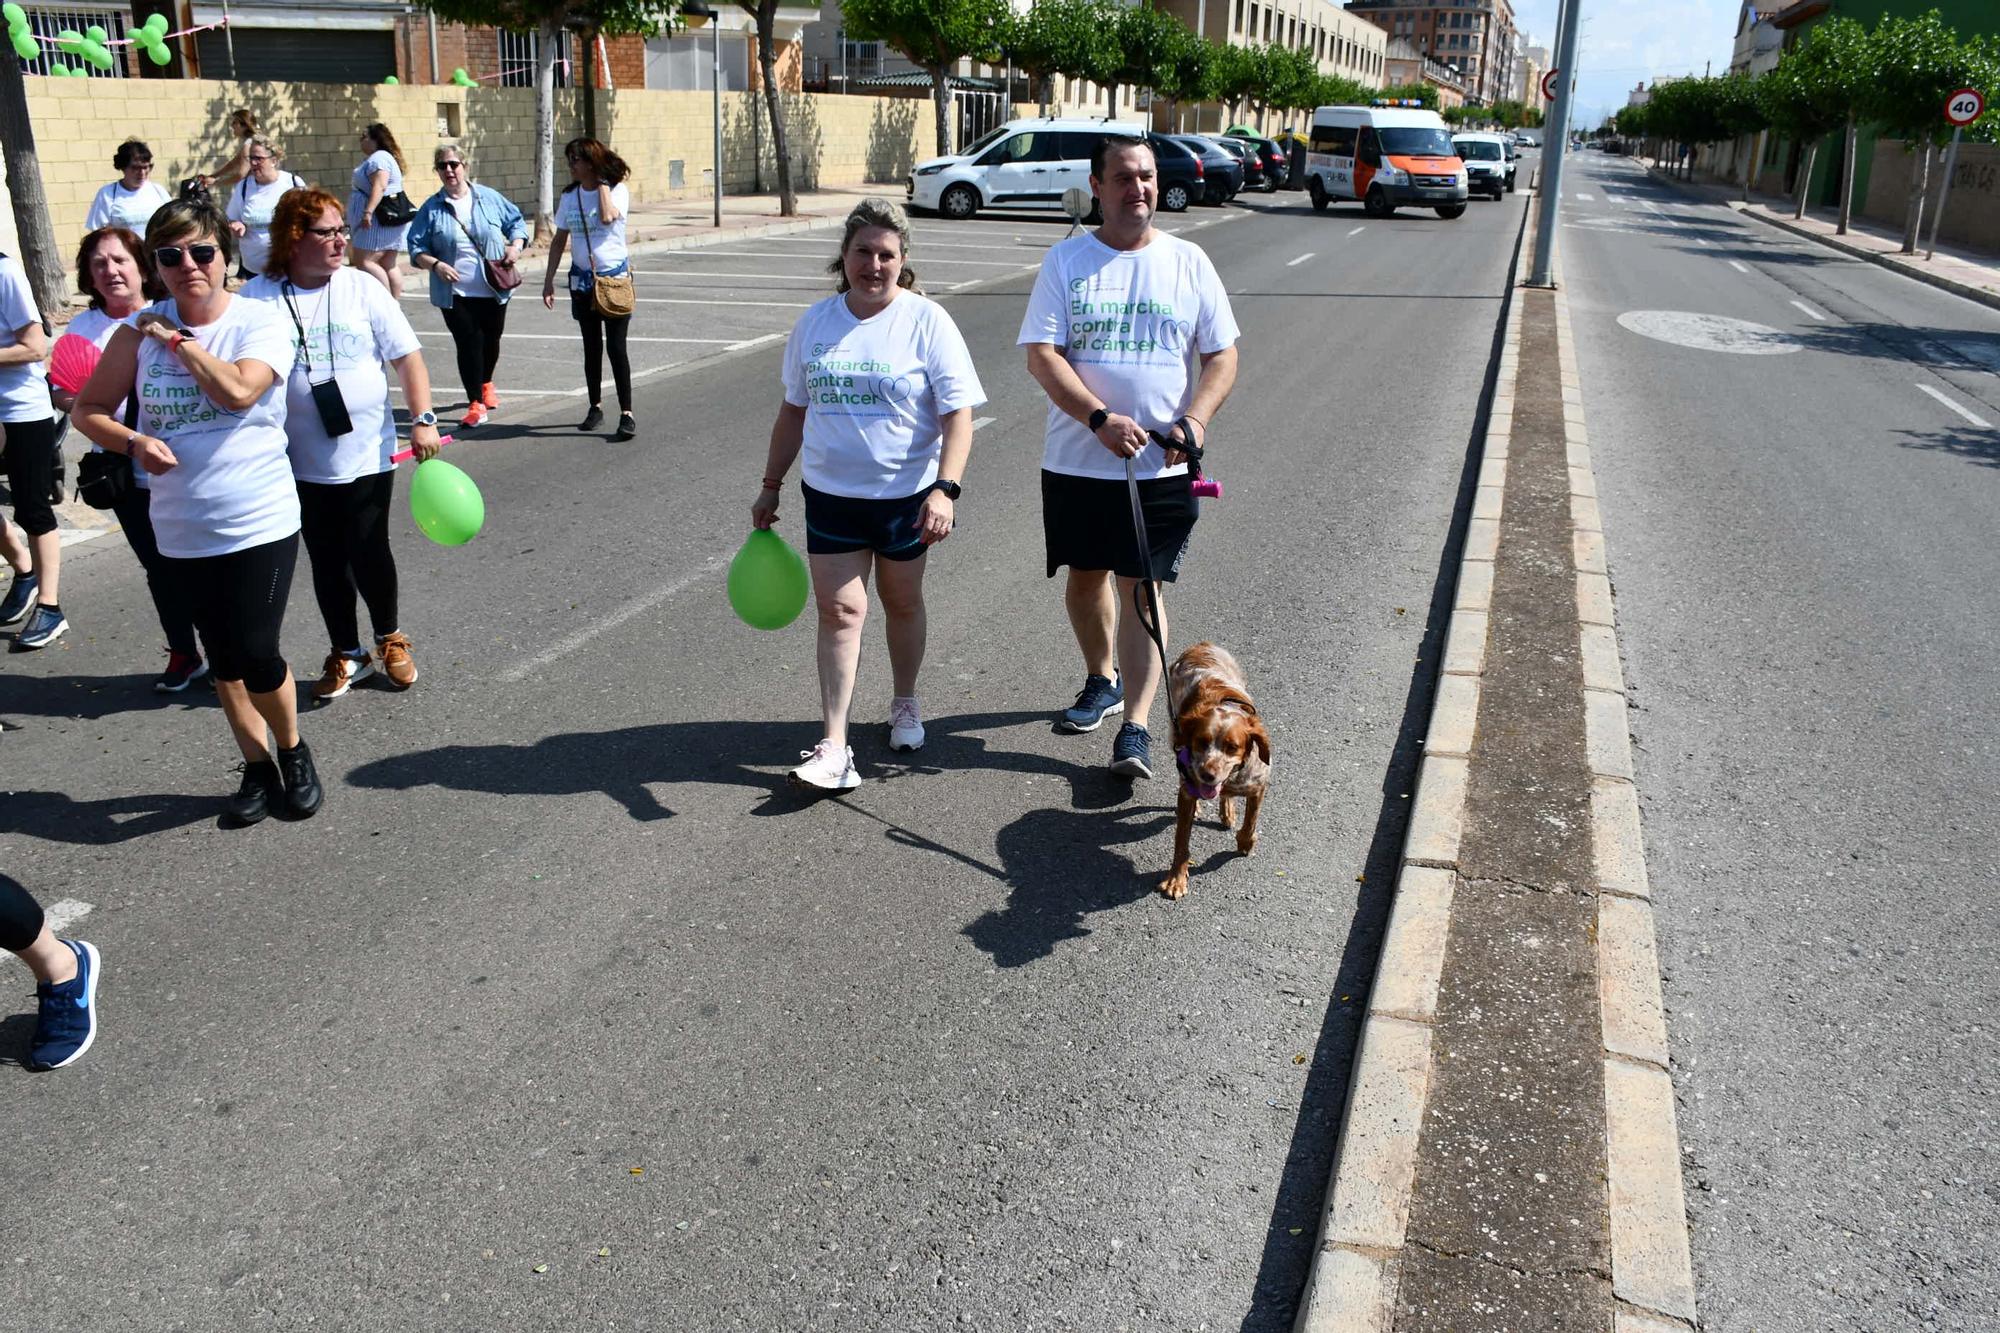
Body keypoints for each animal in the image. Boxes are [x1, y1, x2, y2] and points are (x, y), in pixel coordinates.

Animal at [1168, 640, 1272, 896]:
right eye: (1201, 742)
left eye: (1232, 747)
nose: (1207, 775)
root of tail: (1201, 645)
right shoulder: (1188, 789)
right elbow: (1181, 840)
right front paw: (1176, 879)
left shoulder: (1258, 785)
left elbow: (1250, 822)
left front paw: (1245, 842)